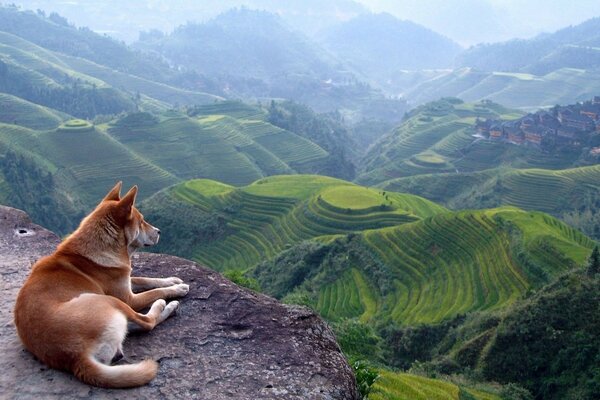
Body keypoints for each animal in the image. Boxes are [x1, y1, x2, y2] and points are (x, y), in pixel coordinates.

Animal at [14, 182, 189, 388]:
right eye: (141, 221)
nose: (160, 231)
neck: (99, 246)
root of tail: (76, 358)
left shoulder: (125, 279)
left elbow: (146, 279)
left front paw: (172, 280)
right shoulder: (129, 298)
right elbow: (155, 291)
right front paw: (176, 289)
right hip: (109, 301)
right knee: (147, 322)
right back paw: (166, 305)